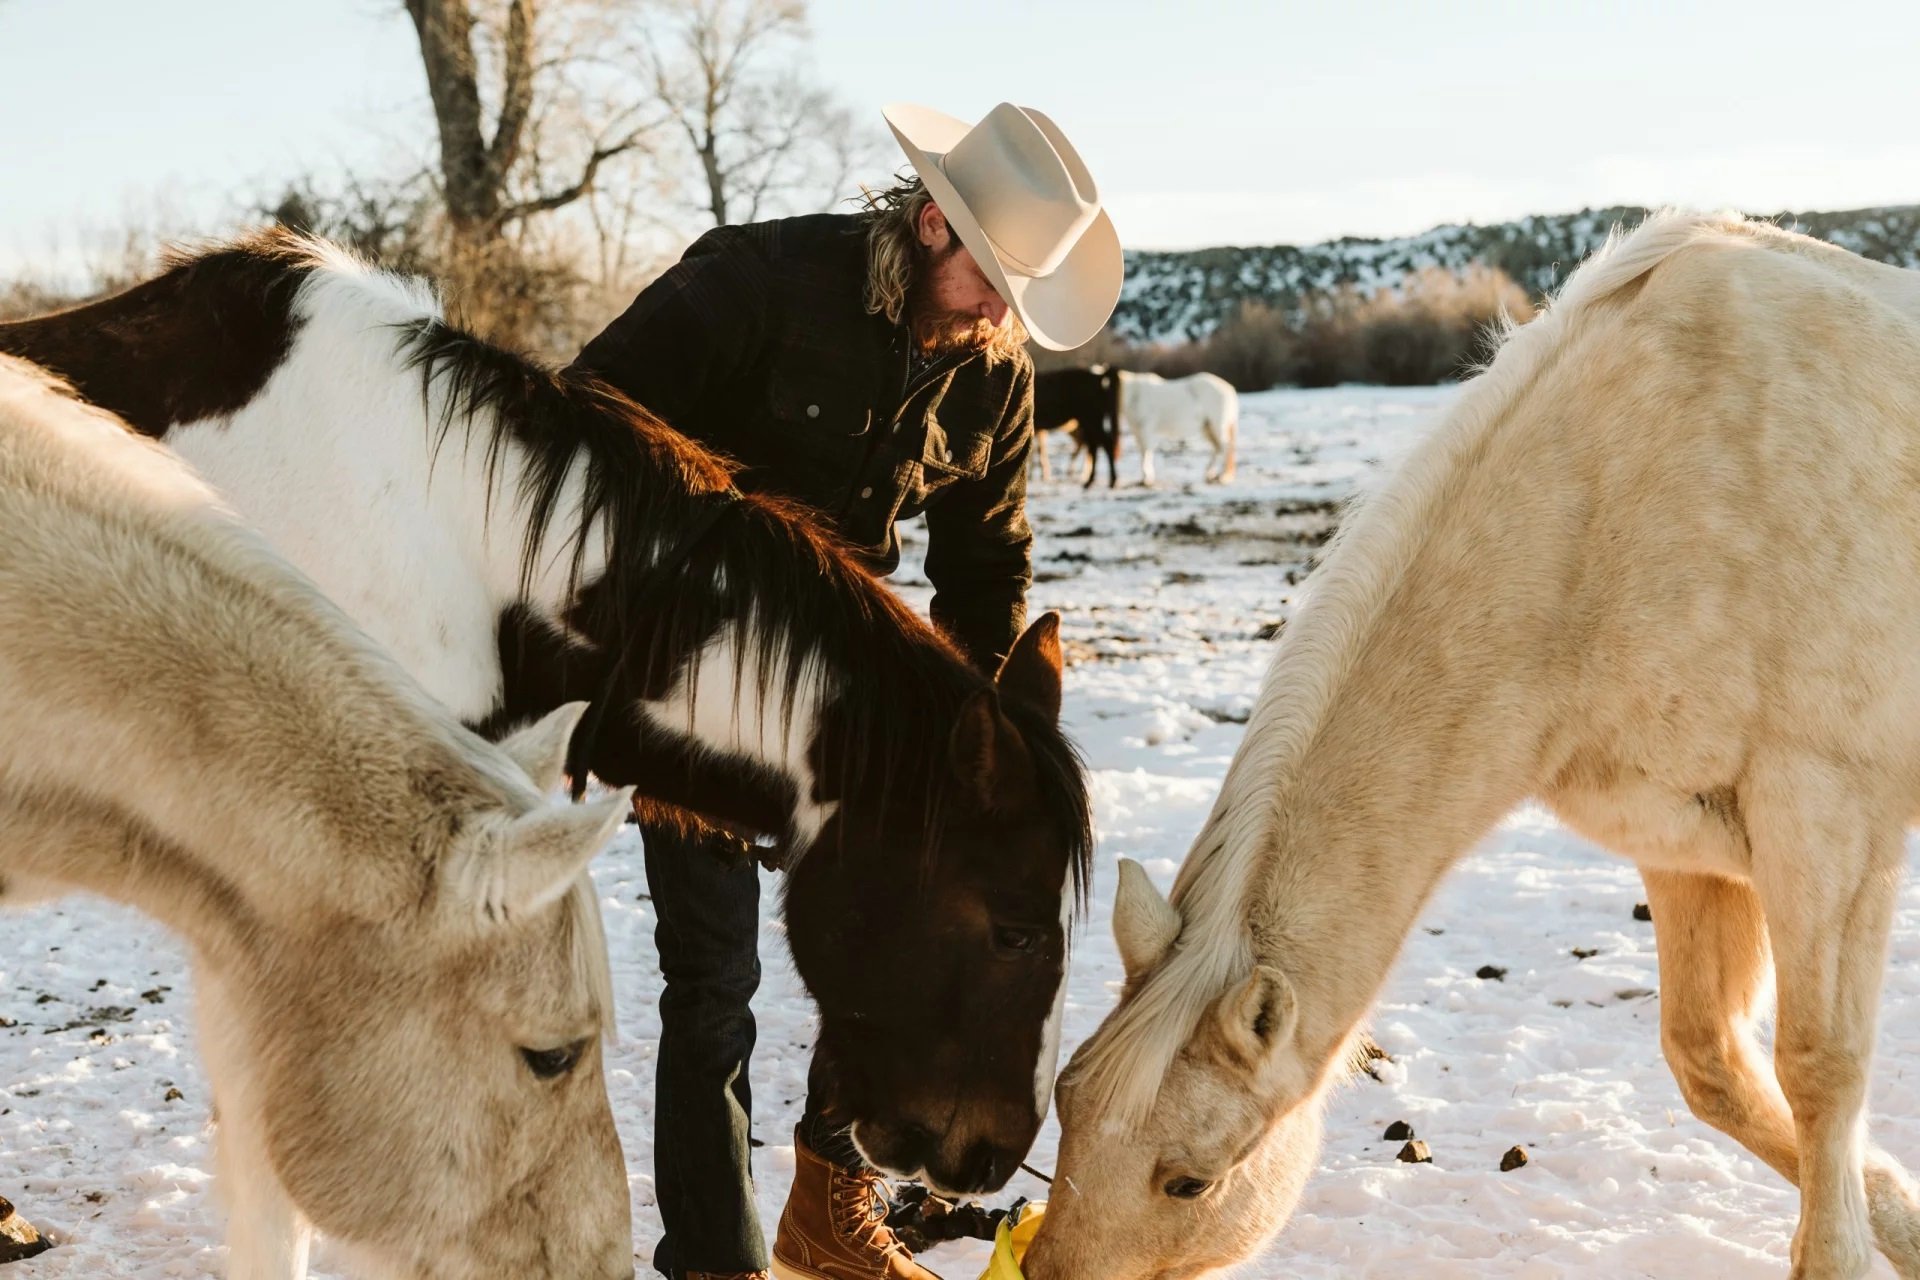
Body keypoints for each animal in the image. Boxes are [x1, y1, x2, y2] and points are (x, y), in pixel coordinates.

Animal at [1036, 210, 1920, 1280]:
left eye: (1189, 1182)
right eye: (1065, 1103)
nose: (1038, 1272)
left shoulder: (1829, 820)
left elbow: (1820, 1066)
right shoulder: (1685, 845)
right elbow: (1709, 1061)